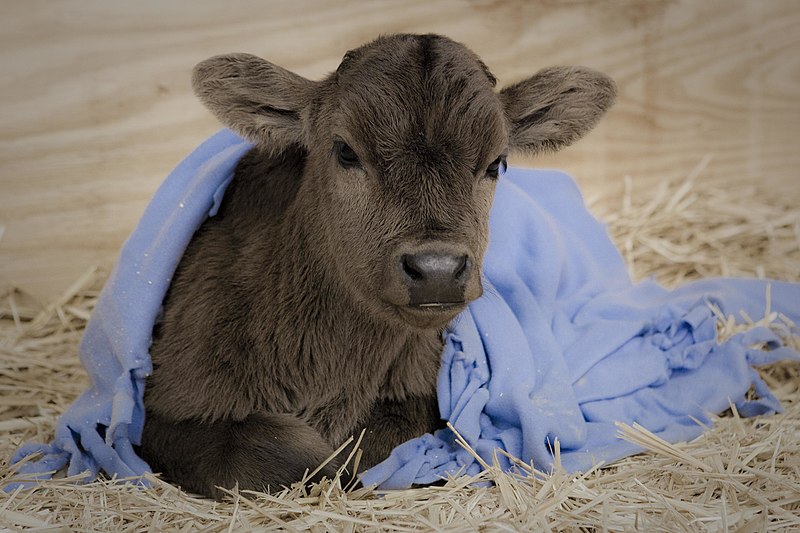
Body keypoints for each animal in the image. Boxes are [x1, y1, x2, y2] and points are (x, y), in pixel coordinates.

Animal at [138, 34, 616, 498]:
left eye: (496, 162)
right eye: (345, 151)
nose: (437, 269)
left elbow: (375, 445)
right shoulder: (163, 412)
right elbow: (277, 454)